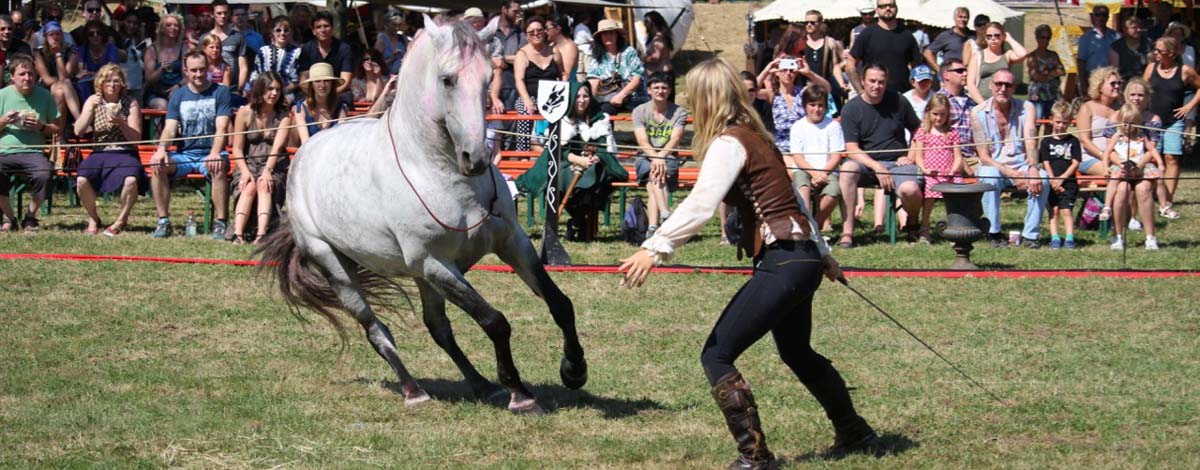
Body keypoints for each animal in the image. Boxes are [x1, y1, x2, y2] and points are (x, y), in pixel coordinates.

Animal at [258, 16, 585, 412]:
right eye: (447, 79)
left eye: (489, 78)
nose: (475, 157)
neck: (438, 173)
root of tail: (304, 154)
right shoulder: (433, 263)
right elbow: (494, 321)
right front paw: (519, 394)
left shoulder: (511, 243)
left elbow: (560, 303)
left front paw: (574, 370)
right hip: (338, 269)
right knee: (378, 332)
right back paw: (414, 391)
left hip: (420, 276)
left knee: (438, 327)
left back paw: (481, 385)